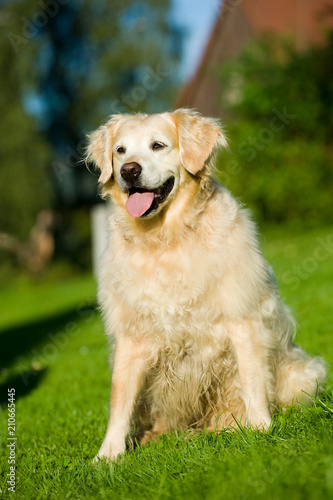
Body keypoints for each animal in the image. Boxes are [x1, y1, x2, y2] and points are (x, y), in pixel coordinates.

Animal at [85, 108, 324, 460]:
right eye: (120, 151)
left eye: (158, 145)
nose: (129, 170)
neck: (166, 238)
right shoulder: (132, 336)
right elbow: (119, 399)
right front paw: (107, 456)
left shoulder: (243, 319)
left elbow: (253, 380)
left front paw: (261, 428)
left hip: (304, 374)